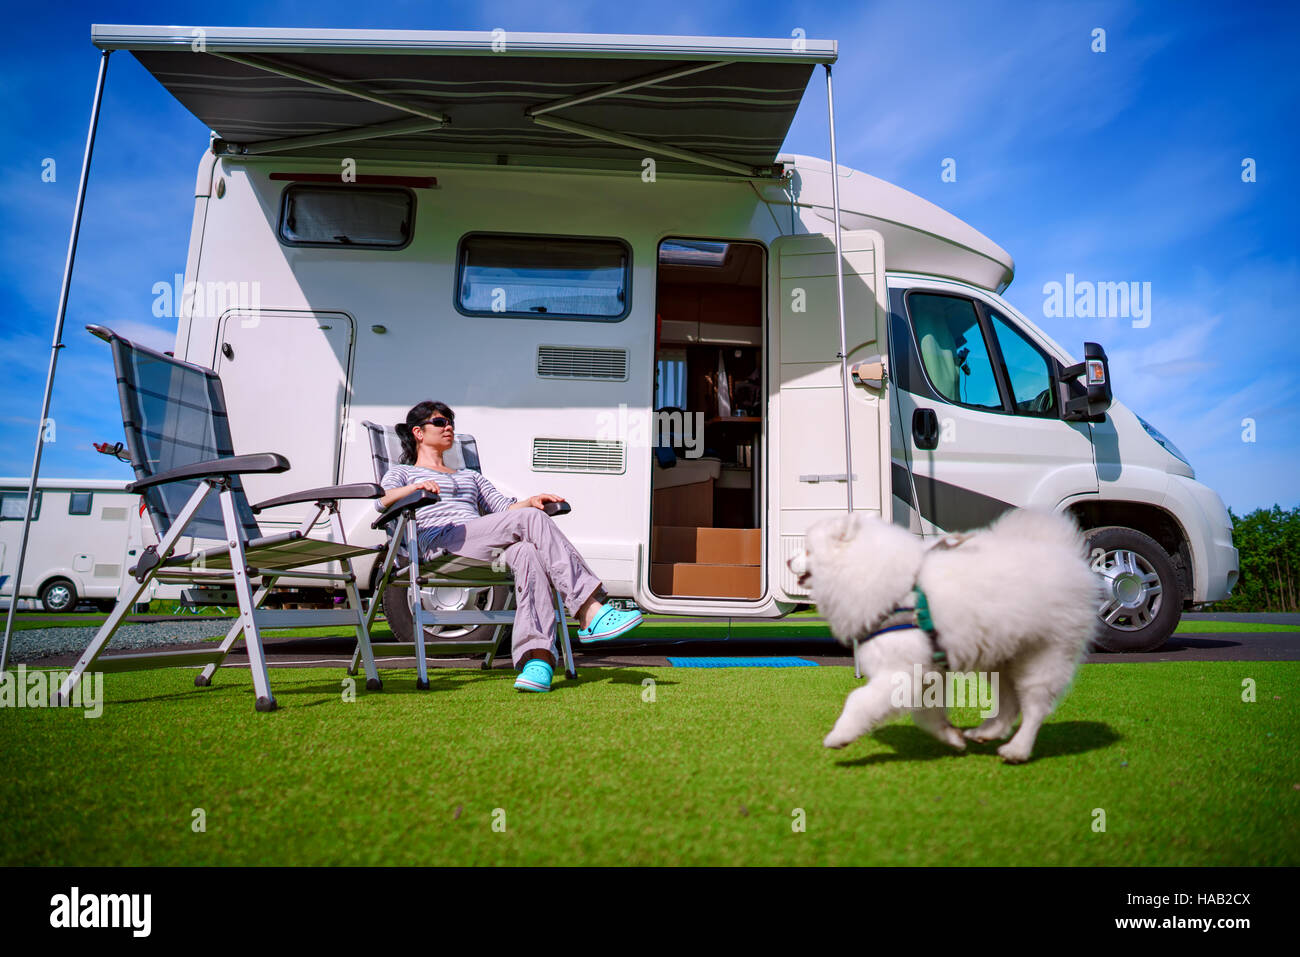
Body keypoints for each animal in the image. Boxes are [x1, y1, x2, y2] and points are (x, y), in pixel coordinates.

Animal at [790, 509, 1097, 764]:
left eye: (808, 550)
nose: (787, 559)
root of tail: (1065, 553)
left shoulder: (899, 671)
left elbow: (858, 700)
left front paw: (838, 736)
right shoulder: (927, 671)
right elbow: (927, 715)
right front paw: (952, 737)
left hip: (1043, 655)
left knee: (1034, 707)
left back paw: (1017, 750)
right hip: (1000, 657)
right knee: (1009, 703)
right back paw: (986, 732)